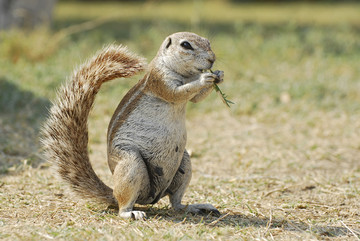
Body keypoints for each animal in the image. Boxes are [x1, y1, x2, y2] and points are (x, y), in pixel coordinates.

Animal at [40, 31, 224, 218]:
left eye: (208, 42)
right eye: (186, 45)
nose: (212, 59)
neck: (185, 74)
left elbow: (196, 98)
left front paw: (219, 75)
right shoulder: (160, 81)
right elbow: (178, 92)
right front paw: (205, 78)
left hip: (184, 163)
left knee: (176, 203)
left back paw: (196, 207)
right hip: (130, 163)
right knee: (125, 204)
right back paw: (130, 213)